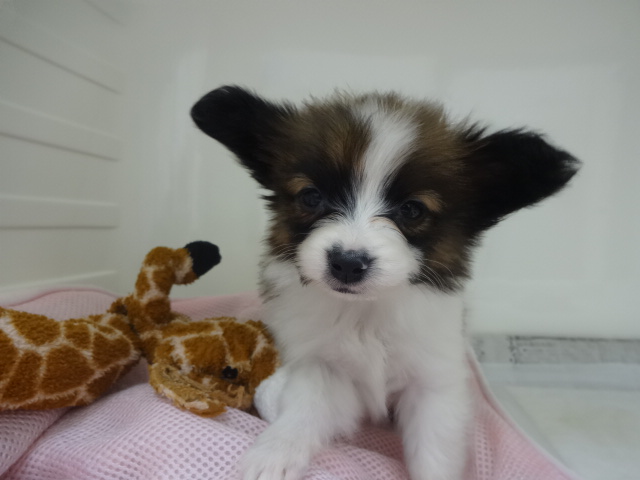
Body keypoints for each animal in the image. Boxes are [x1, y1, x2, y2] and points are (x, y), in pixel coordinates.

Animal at [190, 86, 579, 480]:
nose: (347, 264)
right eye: (311, 197)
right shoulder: (324, 367)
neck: (367, 312)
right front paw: (274, 453)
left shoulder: (433, 384)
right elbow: (304, 412)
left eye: (412, 210)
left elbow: (435, 456)